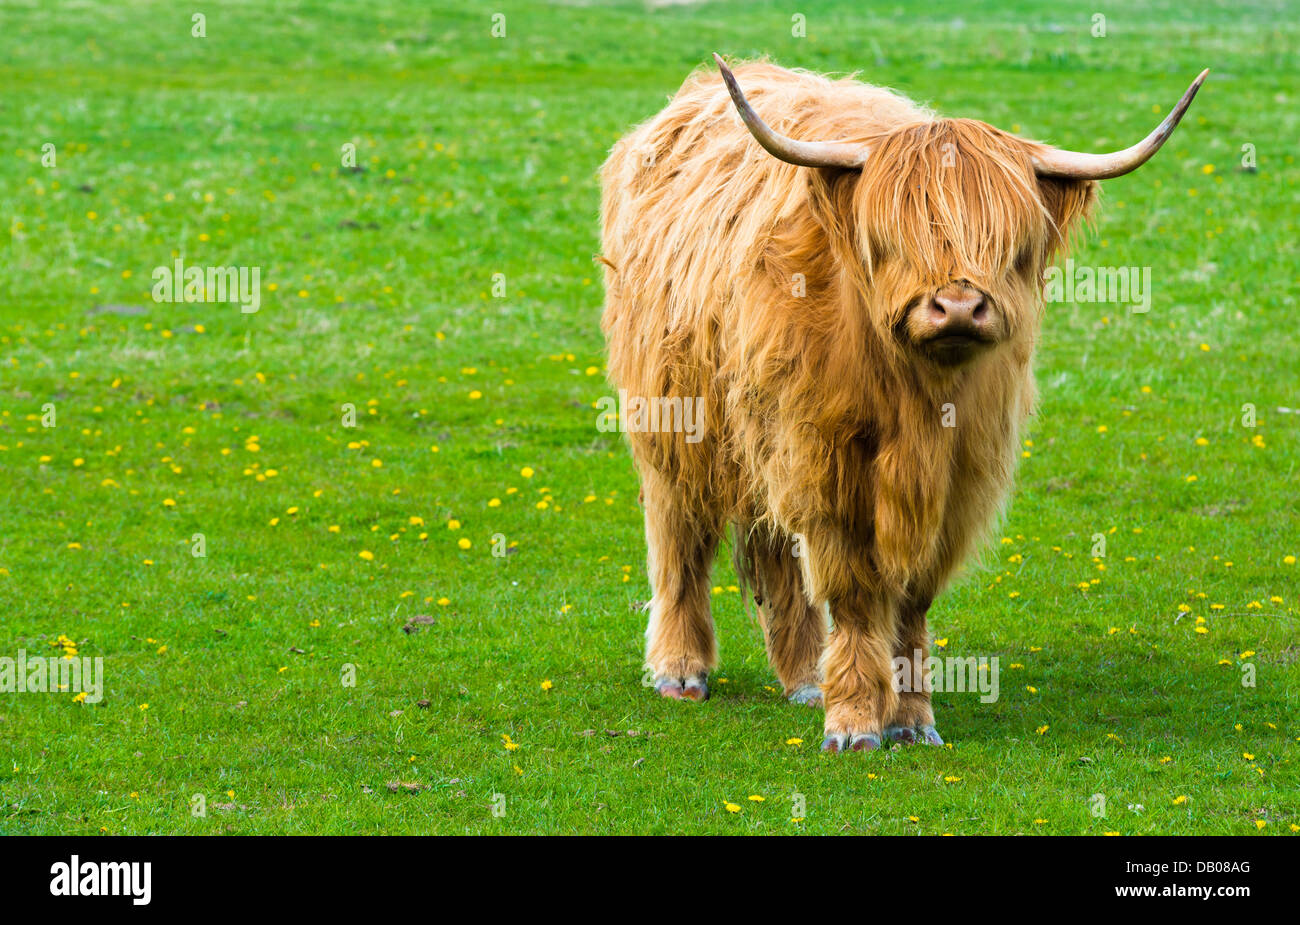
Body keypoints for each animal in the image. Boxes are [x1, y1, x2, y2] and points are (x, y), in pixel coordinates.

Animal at [599, 55, 1206, 752]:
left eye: (1009, 240)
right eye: (895, 235)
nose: (959, 306)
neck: (919, 401)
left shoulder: (958, 477)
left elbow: (913, 598)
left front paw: (912, 718)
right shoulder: (826, 464)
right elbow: (856, 593)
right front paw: (855, 722)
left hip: (760, 432)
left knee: (774, 551)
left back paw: (804, 678)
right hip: (674, 417)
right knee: (680, 538)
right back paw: (681, 671)